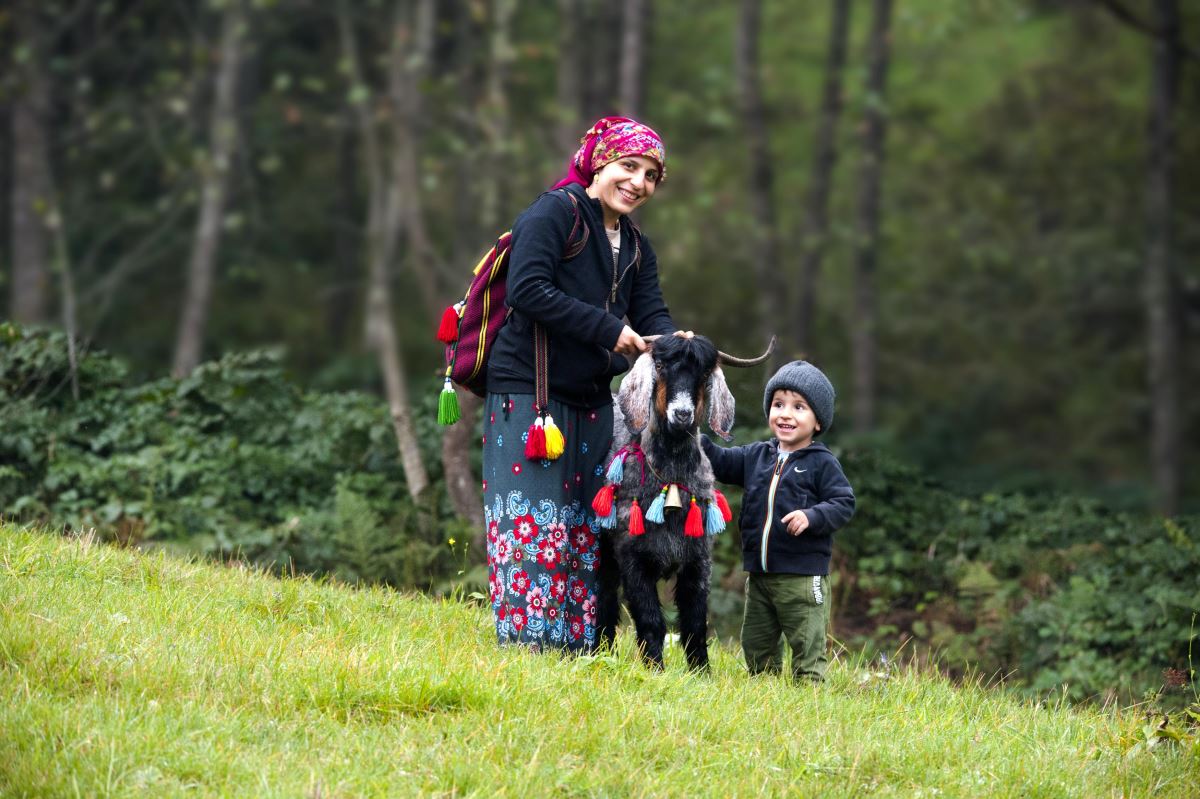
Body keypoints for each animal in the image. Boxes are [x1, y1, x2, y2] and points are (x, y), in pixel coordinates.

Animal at [592, 328, 777, 667]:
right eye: (660, 367)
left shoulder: (698, 558)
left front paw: (701, 672)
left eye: (703, 373)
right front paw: (654, 668)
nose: (681, 413)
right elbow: (651, 619)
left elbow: (694, 621)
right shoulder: (631, 554)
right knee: (605, 596)